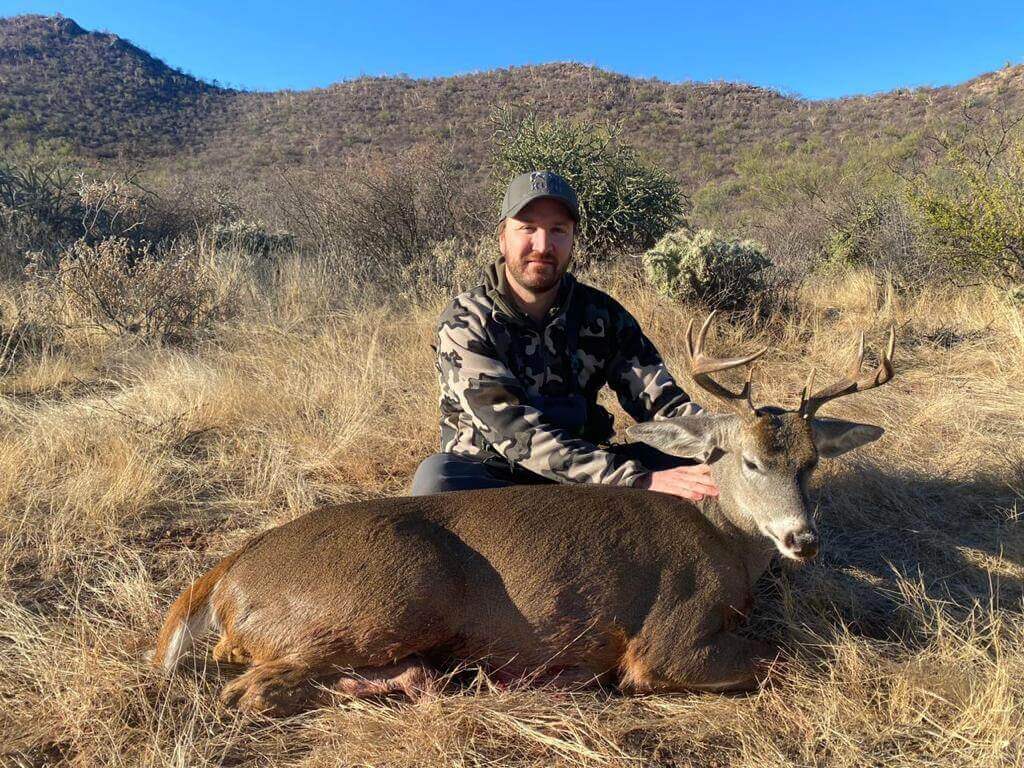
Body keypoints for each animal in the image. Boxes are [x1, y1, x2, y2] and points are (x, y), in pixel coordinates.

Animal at [152, 314, 896, 716]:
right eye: (747, 461)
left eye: (811, 463)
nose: (803, 539)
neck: (727, 548)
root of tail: (226, 573)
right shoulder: (668, 640)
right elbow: (786, 660)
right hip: (387, 599)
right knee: (247, 687)